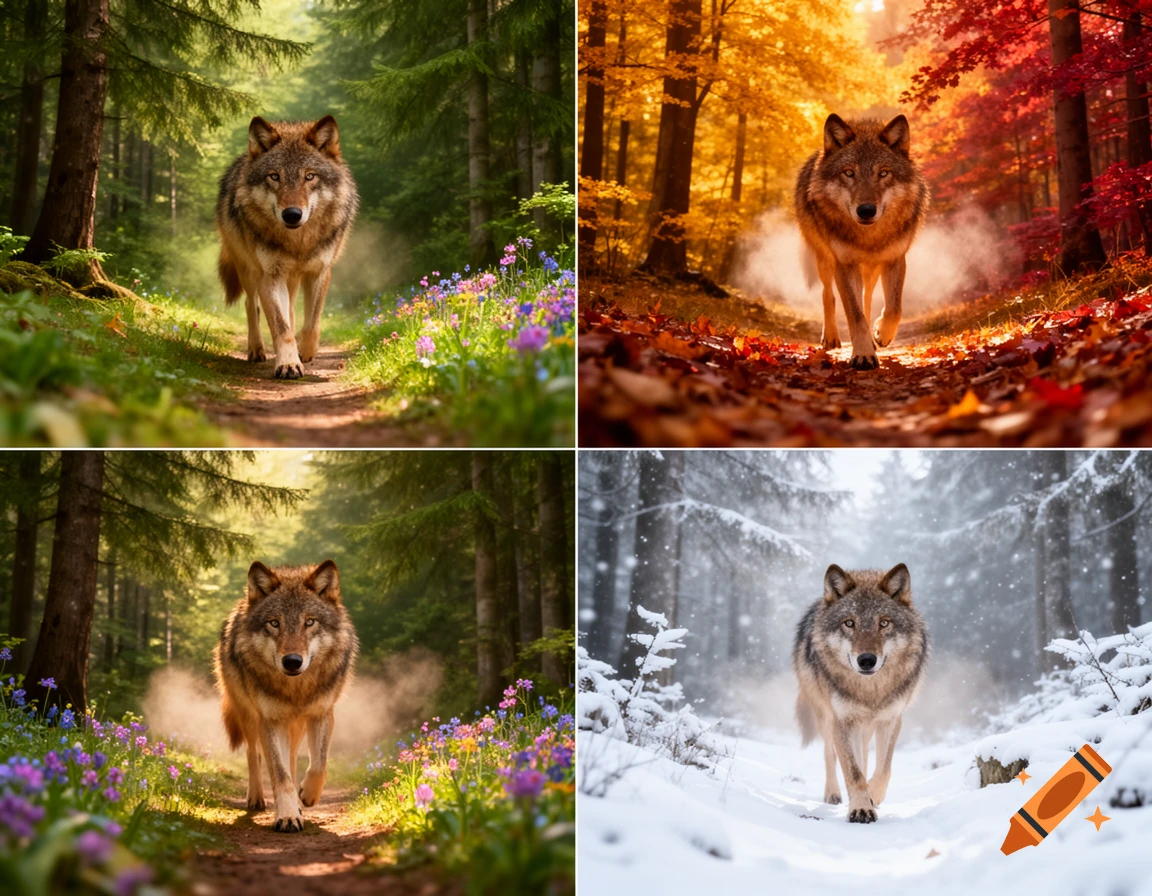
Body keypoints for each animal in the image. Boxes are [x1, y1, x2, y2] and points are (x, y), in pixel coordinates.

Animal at [213, 560, 359, 832]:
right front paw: (288, 816)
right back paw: (256, 798)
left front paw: (307, 796)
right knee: (254, 754)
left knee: (291, 759)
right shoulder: (269, 720)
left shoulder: (322, 714)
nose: (292, 661)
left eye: (309, 622)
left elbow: (319, 765)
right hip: (249, 716)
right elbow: (280, 775)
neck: (296, 690)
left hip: (296, 726)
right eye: (274, 623)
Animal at [216, 116, 359, 379]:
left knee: (291, 310)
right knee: (252, 306)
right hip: (249, 271)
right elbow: (281, 328)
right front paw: (288, 364)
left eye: (310, 176)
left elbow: (312, 323)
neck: (298, 243)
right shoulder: (270, 276)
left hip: (291, 279)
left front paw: (305, 352)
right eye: (274, 177)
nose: (292, 214)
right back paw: (256, 350)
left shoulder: (319, 273)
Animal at [792, 563, 928, 823]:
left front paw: (872, 797)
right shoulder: (842, 721)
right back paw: (833, 794)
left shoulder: (891, 720)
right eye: (849, 623)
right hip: (826, 718)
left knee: (864, 756)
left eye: (884, 623)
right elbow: (853, 773)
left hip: (864, 728)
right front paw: (861, 809)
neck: (870, 691)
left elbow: (883, 769)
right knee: (830, 754)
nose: (866, 660)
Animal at [794, 114, 929, 370]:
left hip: (871, 271)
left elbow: (894, 308)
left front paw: (881, 335)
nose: (866, 210)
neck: (869, 238)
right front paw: (863, 355)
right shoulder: (845, 264)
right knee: (828, 294)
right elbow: (855, 316)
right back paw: (831, 337)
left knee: (867, 299)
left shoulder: (895, 259)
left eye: (884, 173)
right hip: (825, 260)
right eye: (849, 173)